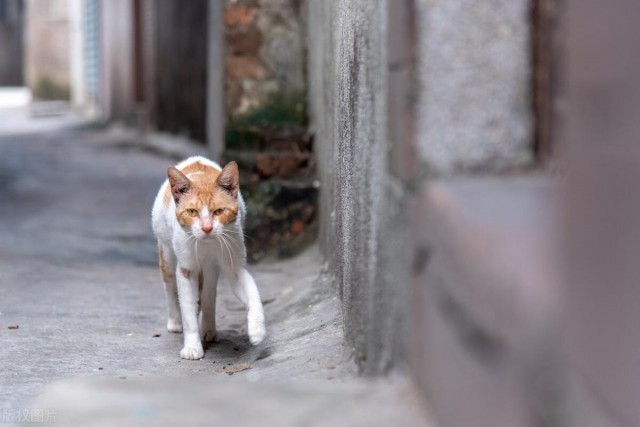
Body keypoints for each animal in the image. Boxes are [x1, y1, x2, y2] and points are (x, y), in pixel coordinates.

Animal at [151, 155, 264, 360]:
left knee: (209, 294)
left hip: (212, 268)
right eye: (192, 212)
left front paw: (257, 329)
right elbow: (188, 310)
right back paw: (175, 321)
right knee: (170, 286)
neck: (207, 245)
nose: (207, 228)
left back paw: (209, 329)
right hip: (167, 253)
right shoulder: (186, 269)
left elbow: (252, 293)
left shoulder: (233, 265)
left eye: (219, 211)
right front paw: (192, 347)